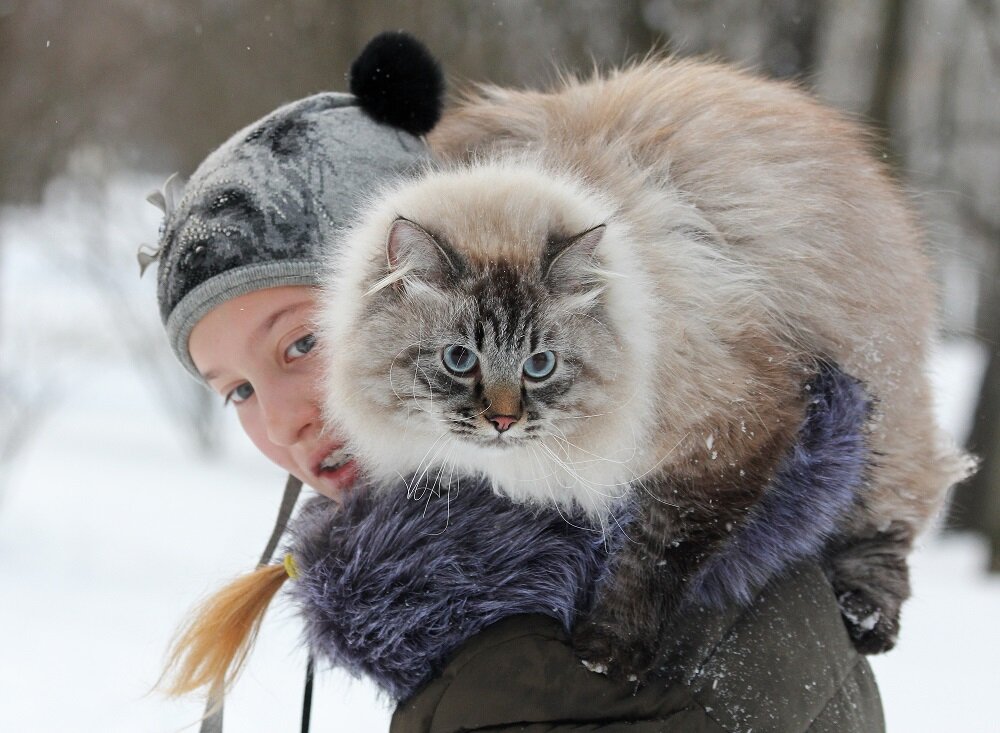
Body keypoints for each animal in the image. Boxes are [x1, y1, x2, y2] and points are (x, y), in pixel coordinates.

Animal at [318, 57, 968, 676]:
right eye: (459, 359)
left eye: (540, 365)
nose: (502, 422)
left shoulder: (731, 429)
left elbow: (654, 555)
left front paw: (610, 650)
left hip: (882, 405)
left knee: (893, 521)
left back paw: (867, 616)